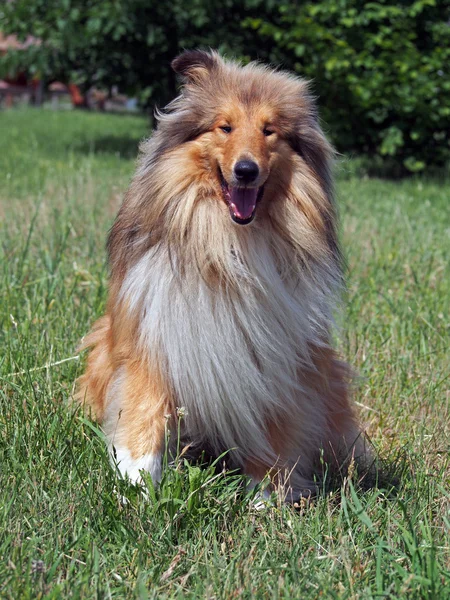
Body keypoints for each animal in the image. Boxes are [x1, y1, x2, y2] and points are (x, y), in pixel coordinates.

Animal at [75, 49, 368, 500]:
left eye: (269, 131)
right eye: (224, 126)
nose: (246, 170)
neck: (228, 245)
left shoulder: (278, 357)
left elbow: (273, 431)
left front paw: (268, 496)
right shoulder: (153, 334)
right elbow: (144, 411)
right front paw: (137, 486)